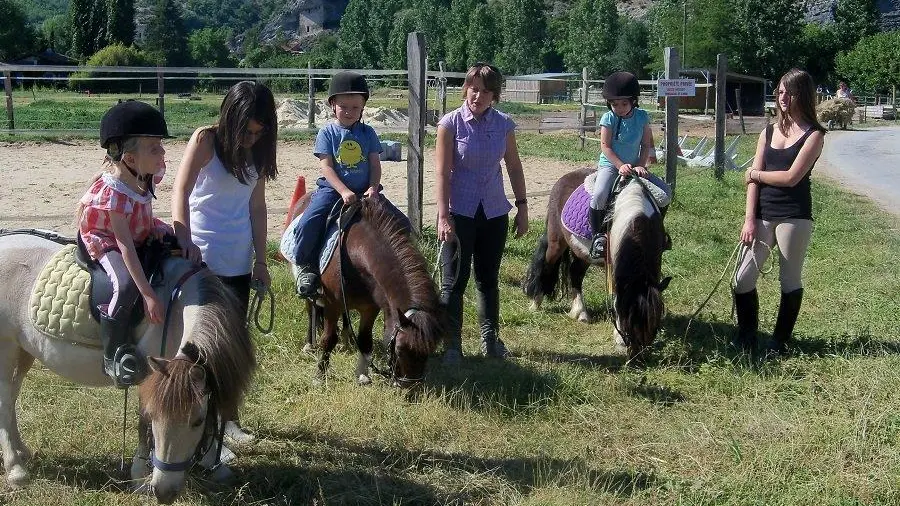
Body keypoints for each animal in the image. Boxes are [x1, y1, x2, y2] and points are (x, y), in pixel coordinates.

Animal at [286, 195, 442, 388]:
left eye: (429, 350)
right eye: (399, 349)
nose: (409, 387)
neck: (356, 255)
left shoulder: (370, 308)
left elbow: (365, 341)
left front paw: (362, 375)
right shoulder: (332, 305)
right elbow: (328, 339)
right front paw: (319, 376)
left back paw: (346, 340)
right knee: (311, 311)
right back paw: (309, 344)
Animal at [520, 168, 668, 362]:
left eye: (653, 324)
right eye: (629, 318)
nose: (637, 358)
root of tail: (564, 178)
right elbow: (616, 299)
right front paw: (617, 337)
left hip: (583, 254)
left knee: (575, 274)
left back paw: (580, 313)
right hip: (556, 242)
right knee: (546, 266)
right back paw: (536, 304)